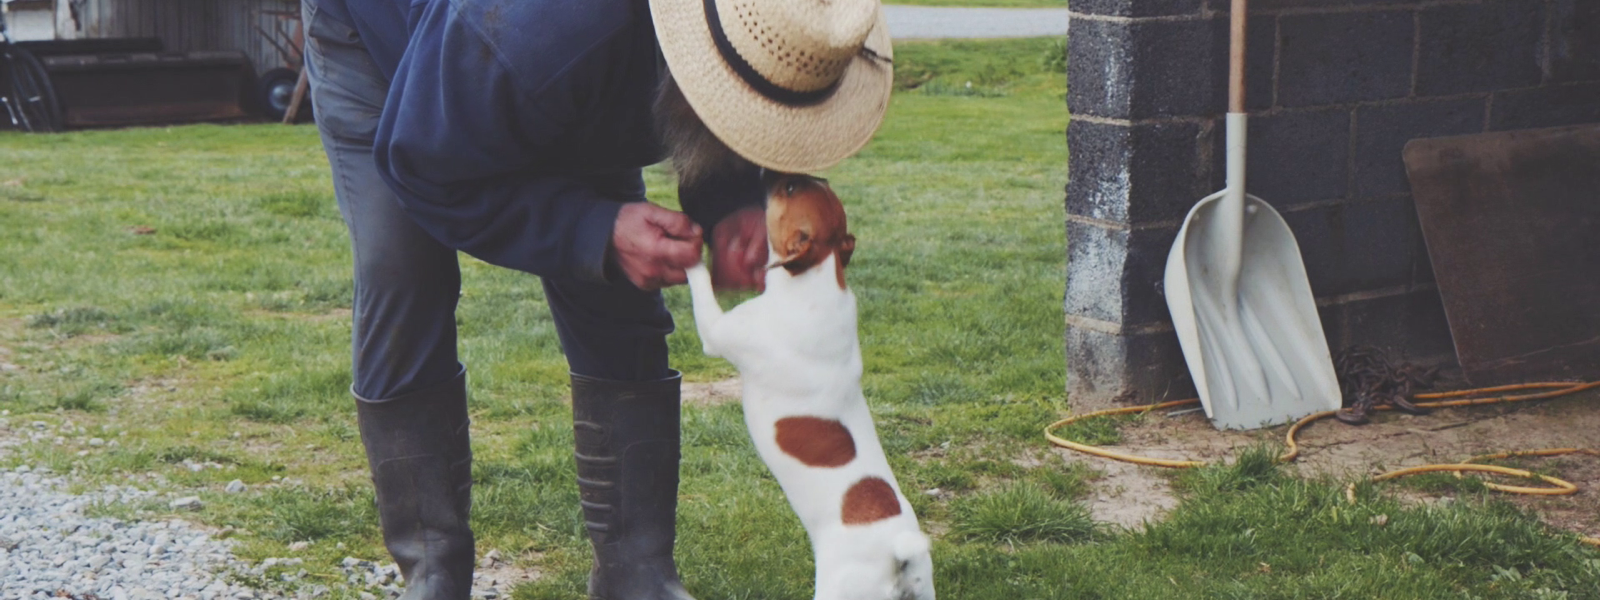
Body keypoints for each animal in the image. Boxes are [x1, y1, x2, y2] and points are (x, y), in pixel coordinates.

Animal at [681, 172, 934, 600]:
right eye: (815, 181)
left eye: (789, 191)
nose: (767, 173)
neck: (818, 275)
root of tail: (899, 556)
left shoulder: (715, 330)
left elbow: (699, 279)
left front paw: (689, 245)